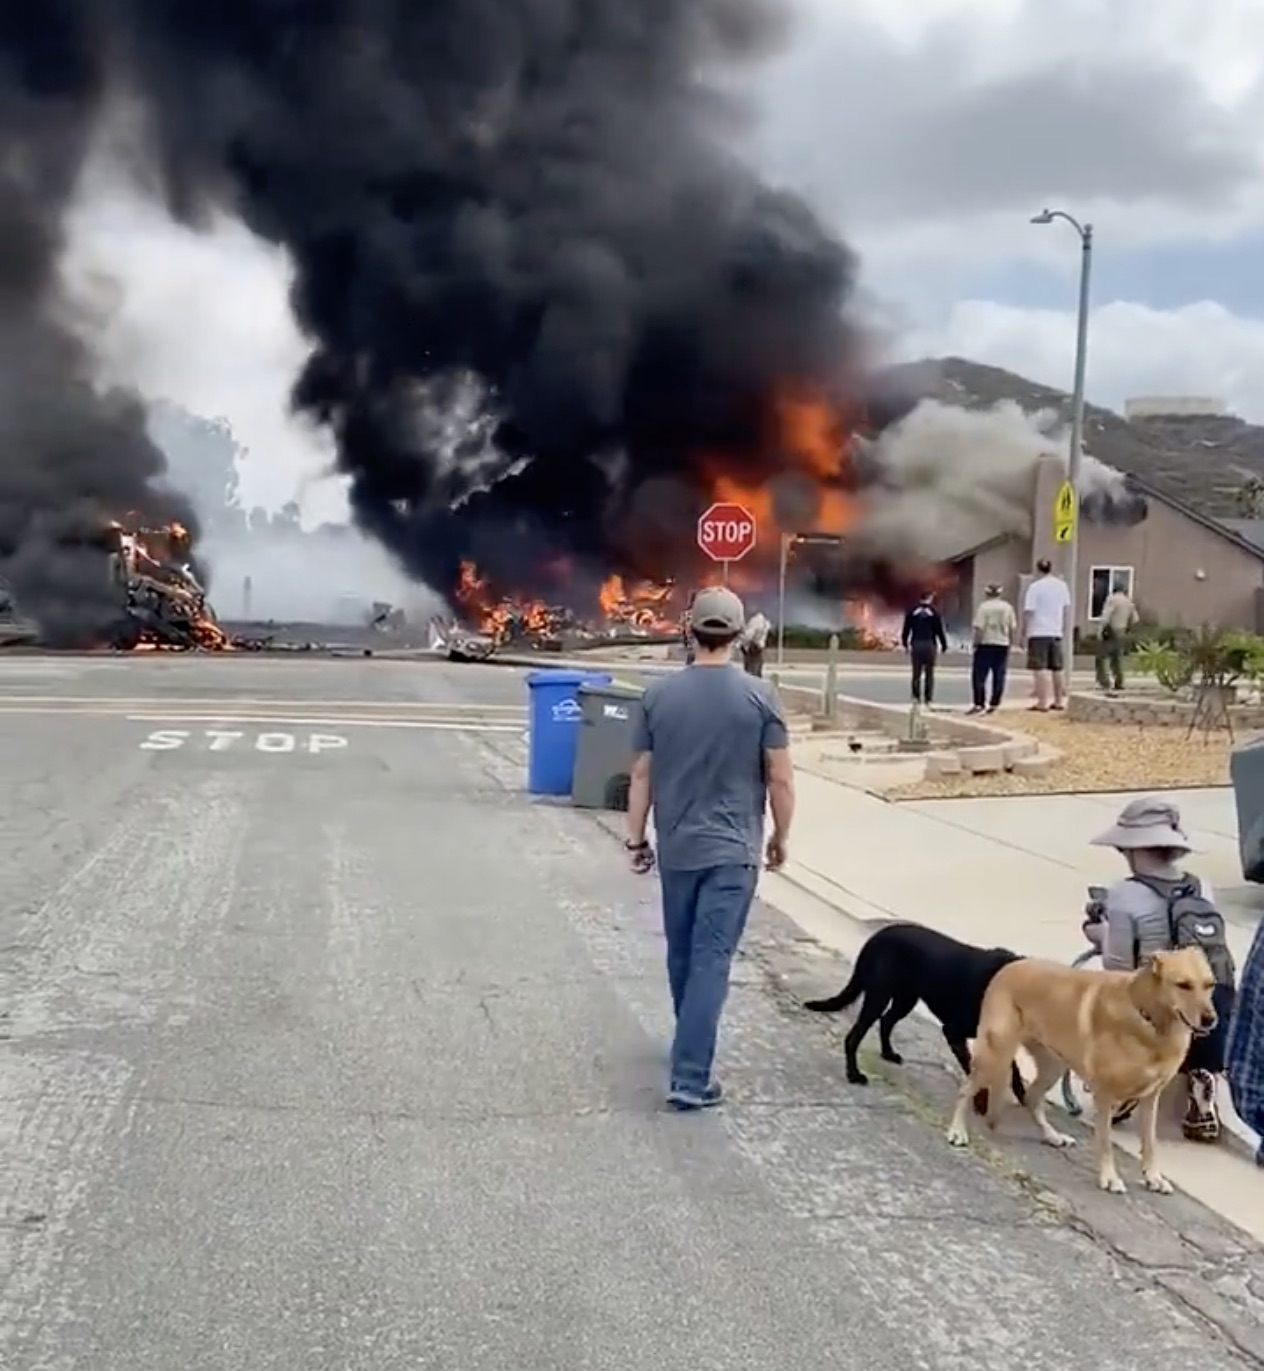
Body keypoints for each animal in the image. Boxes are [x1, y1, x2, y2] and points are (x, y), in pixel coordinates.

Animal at [806, 915, 1025, 1107]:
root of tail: (875, 937)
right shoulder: (953, 1031)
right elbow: (972, 1068)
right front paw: (981, 1100)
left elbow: (1015, 1071)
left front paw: (1023, 1097)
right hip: (879, 997)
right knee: (854, 1037)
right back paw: (853, 1074)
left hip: (905, 999)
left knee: (886, 1021)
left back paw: (888, 1053)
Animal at [943, 948, 1217, 1195]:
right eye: (1183, 985)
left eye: (1210, 984)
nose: (1210, 1019)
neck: (1153, 1023)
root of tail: (1010, 966)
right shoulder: (1105, 1095)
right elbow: (1105, 1141)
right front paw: (1110, 1177)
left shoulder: (1151, 1097)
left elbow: (1149, 1143)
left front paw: (1153, 1177)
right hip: (995, 1054)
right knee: (966, 1090)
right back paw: (957, 1131)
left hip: (1052, 1067)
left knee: (1031, 1099)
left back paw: (1052, 1136)